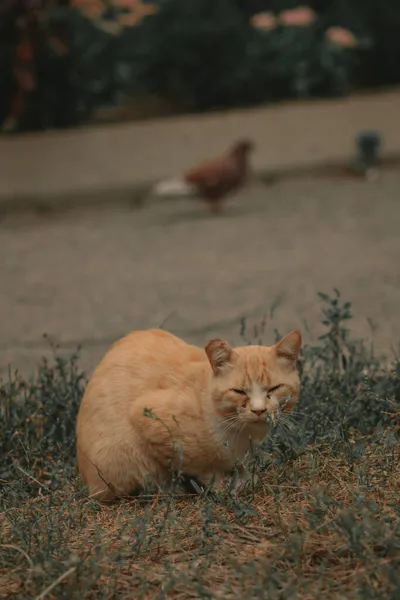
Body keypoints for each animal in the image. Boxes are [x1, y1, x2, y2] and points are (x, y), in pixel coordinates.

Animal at [75, 328, 302, 502]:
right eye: (239, 391)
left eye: (274, 388)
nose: (258, 410)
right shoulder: (149, 420)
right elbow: (203, 467)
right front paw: (225, 486)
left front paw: (245, 476)